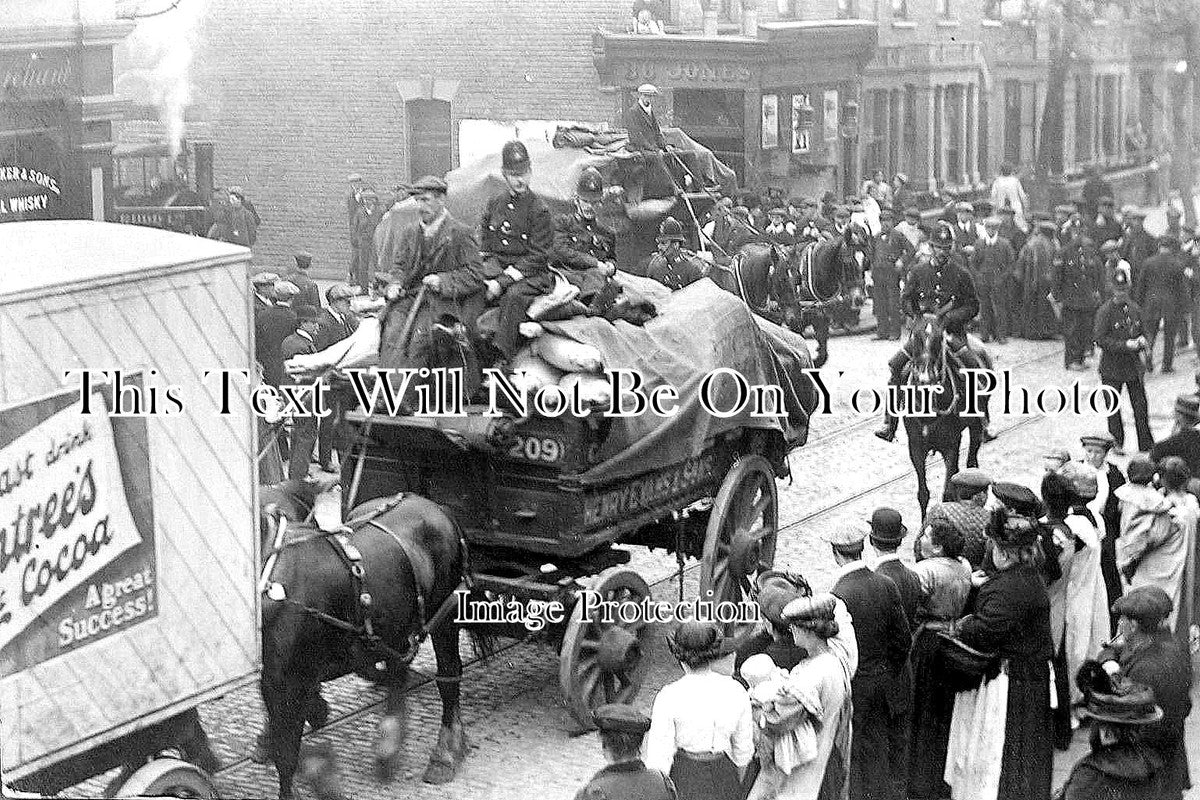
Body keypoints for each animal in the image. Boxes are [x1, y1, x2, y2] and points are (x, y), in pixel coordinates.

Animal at [255, 482, 470, 800]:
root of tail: (438, 508)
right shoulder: (275, 680)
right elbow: (287, 738)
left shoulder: (290, 680)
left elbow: (288, 751)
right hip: (392, 628)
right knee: (397, 672)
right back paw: (389, 745)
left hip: (445, 614)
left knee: (448, 676)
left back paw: (445, 753)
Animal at [902, 316, 988, 515]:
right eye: (914, 338)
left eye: (938, 340)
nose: (925, 380)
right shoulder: (915, 447)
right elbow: (923, 493)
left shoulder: (951, 445)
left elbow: (948, 492)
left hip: (976, 426)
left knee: (971, 462)